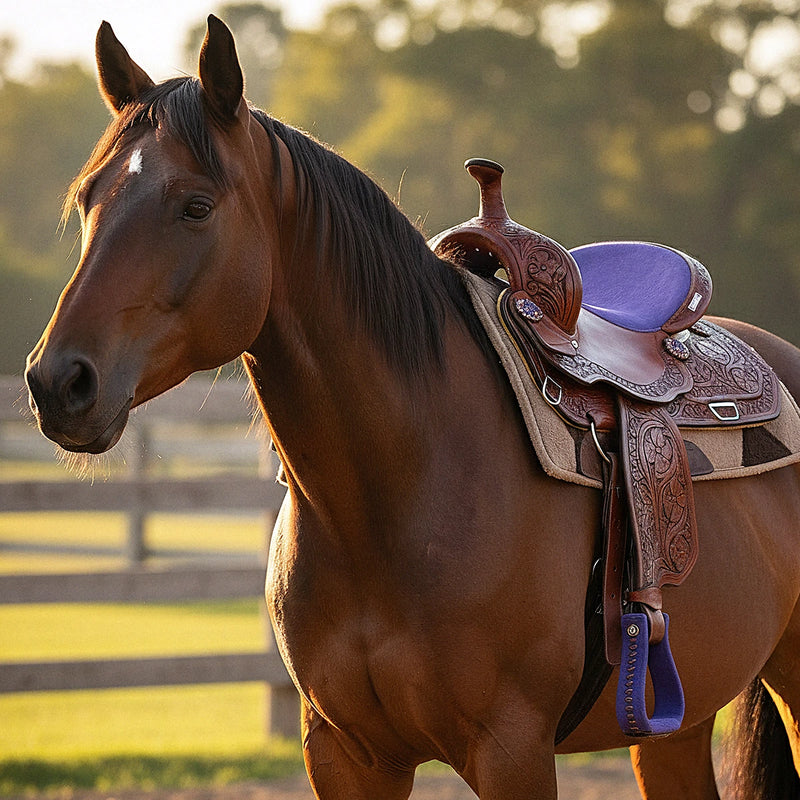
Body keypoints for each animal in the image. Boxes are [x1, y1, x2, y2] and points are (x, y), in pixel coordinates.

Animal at [24, 15, 800, 800]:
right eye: (88, 199)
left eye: (195, 206)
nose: (59, 382)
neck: (399, 489)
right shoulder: (346, 753)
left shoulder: (513, 750)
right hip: (676, 723)